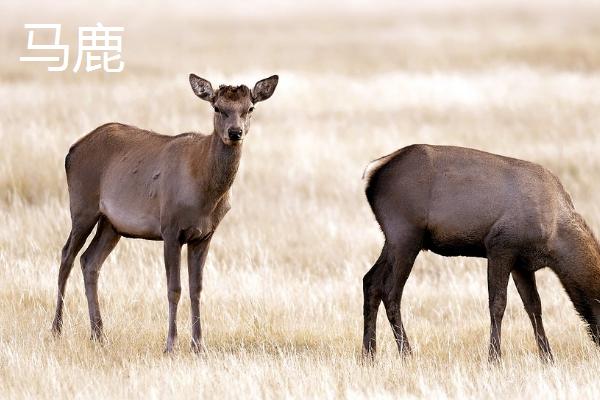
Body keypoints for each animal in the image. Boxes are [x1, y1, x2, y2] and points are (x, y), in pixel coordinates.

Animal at [51, 73, 278, 352]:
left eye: (250, 108)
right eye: (217, 107)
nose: (235, 133)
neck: (206, 194)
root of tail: (71, 151)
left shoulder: (205, 235)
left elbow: (196, 289)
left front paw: (198, 345)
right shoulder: (170, 228)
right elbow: (174, 288)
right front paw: (170, 344)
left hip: (111, 224)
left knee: (89, 261)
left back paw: (99, 334)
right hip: (82, 205)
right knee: (66, 256)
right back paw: (57, 329)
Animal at [360, 145, 600, 362]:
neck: (554, 240)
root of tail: (373, 171)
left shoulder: (522, 263)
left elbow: (534, 306)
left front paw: (547, 357)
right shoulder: (500, 246)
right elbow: (498, 304)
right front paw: (494, 358)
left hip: (392, 239)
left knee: (371, 281)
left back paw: (368, 355)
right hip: (405, 234)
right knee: (391, 291)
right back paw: (407, 354)